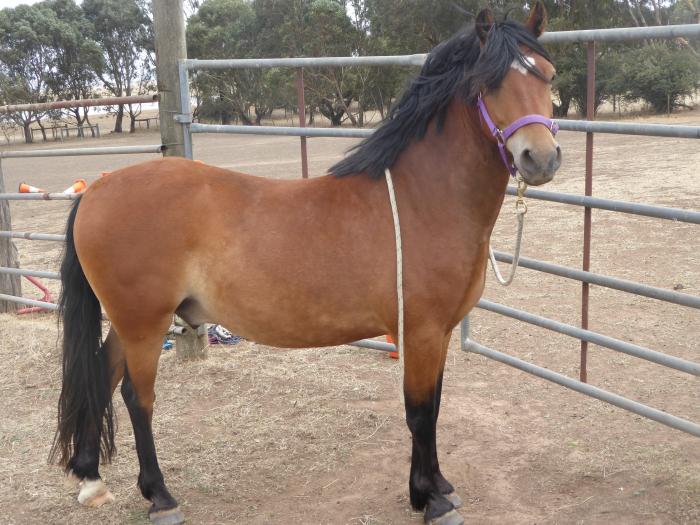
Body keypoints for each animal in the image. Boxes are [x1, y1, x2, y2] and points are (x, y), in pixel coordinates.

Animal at [50, 4, 560, 525]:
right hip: (144, 324)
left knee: (101, 377)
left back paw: (91, 478)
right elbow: (420, 412)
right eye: (488, 85)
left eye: (549, 75)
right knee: (138, 397)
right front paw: (430, 499)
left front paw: (437, 486)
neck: (421, 198)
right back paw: (160, 496)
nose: (539, 157)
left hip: (130, 323)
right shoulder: (419, 331)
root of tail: (97, 190)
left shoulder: (435, 335)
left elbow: (433, 406)